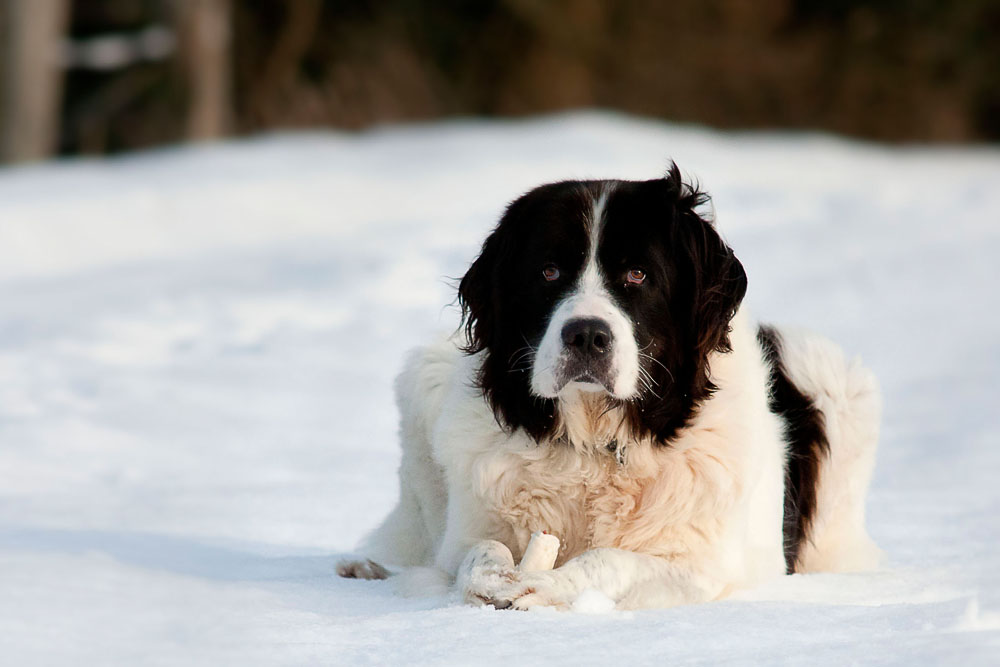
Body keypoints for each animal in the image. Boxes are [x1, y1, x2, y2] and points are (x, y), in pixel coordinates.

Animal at [338, 163, 884, 612]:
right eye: (549, 271)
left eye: (638, 274)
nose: (586, 335)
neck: (594, 442)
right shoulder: (468, 531)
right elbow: (479, 550)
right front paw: (494, 578)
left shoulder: (707, 567)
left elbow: (610, 560)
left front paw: (546, 585)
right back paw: (365, 568)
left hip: (830, 377)